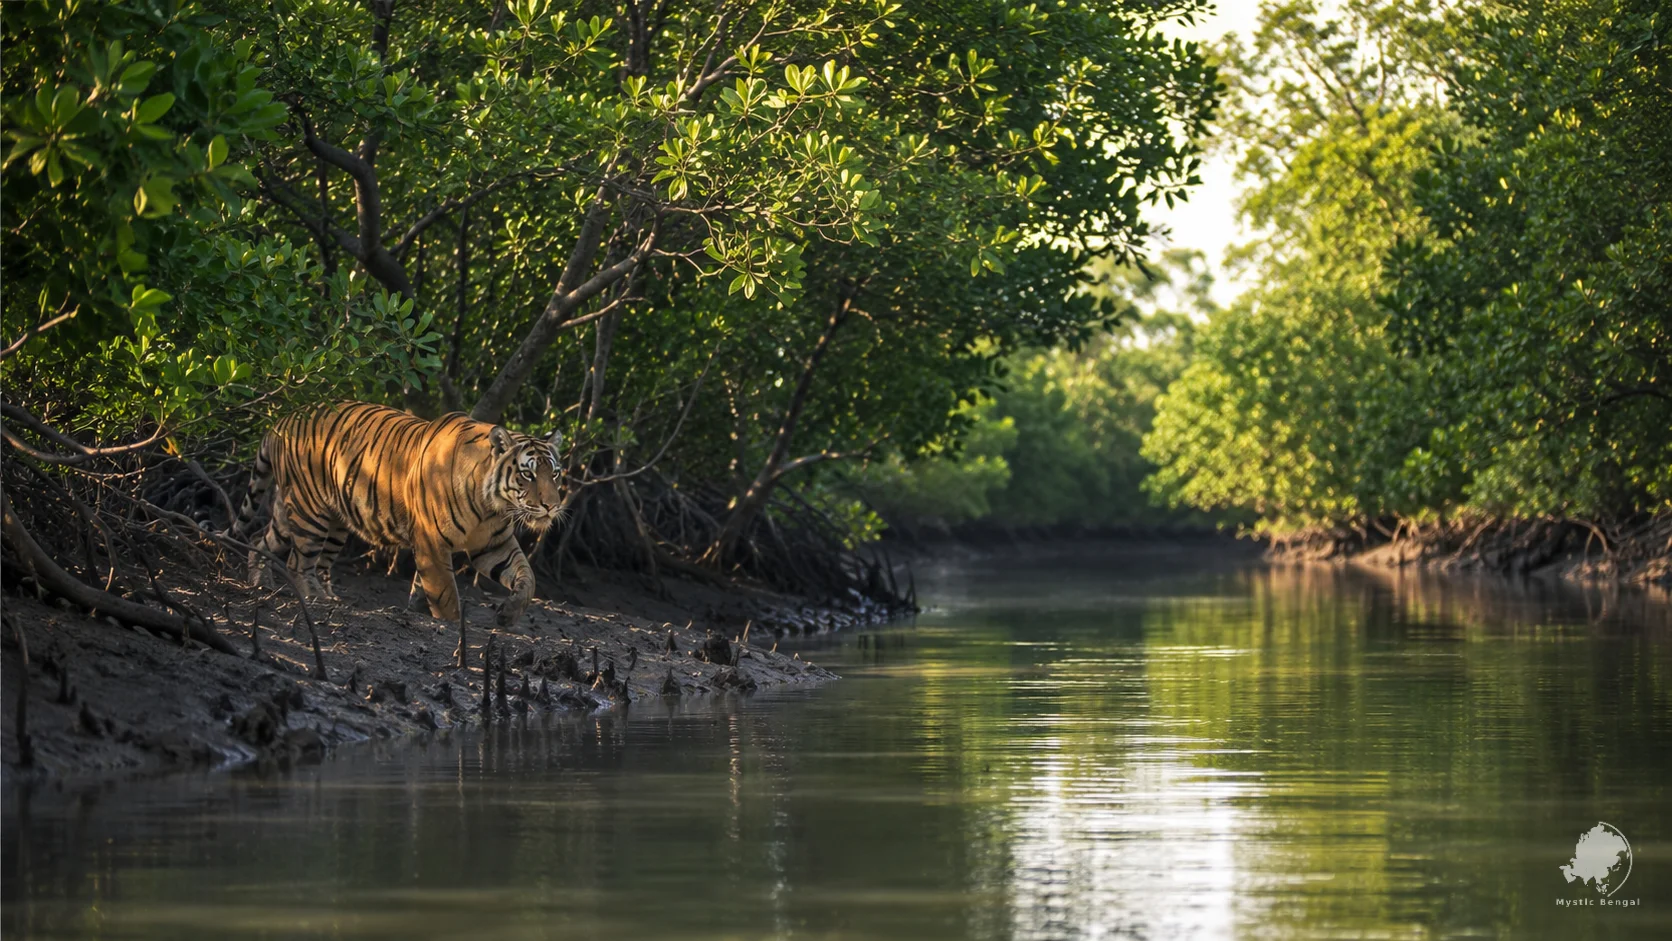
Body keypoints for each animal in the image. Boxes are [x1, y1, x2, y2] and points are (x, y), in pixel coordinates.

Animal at [234, 401, 567, 628]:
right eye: (527, 474)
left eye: (555, 474)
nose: (552, 505)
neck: (491, 506)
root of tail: (285, 418)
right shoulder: (431, 540)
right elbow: (445, 591)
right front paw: (448, 622)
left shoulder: (494, 544)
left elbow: (527, 577)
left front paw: (509, 613)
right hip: (309, 512)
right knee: (298, 562)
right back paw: (316, 597)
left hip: (314, 517)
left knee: (261, 540)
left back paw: (264, 584)